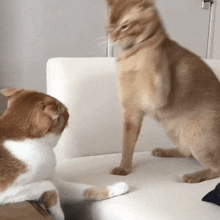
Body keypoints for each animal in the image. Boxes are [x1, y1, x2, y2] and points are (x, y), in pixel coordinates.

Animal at [0, 88, 129, 220]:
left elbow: (86, 189)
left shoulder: (56, 181)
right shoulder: (6, 192)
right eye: (65, 112)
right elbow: (49, 187)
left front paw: (117, 188)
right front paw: (57, 214)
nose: (69, 113)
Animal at [104, 0, 220, 183]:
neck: (130, 54)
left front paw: (155, 45)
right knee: (186, 152)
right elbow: (127, 145)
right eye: (109, 27)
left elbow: (154, 54)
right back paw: (163, 151)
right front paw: (124, 168)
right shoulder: (131, 113)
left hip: (196, 136)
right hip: (174, 131)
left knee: (216, 168)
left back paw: (192, 176)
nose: (112, 38)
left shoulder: (155, 98)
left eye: (125, 26)